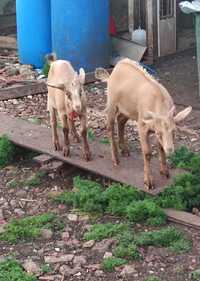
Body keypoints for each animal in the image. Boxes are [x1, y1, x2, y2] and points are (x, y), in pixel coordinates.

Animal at [95, 58, 192, 189]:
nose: (170, 150)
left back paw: (124, 149)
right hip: (111, 102)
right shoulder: (142, 126)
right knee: (109, 126)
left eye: (174, 132)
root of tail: (117, 67)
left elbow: (160, 148)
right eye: (159, 133)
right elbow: (147, 153)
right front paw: (148, 181)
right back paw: (115, 159)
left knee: (120, 120)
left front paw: (164, 171)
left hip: (129, 108)